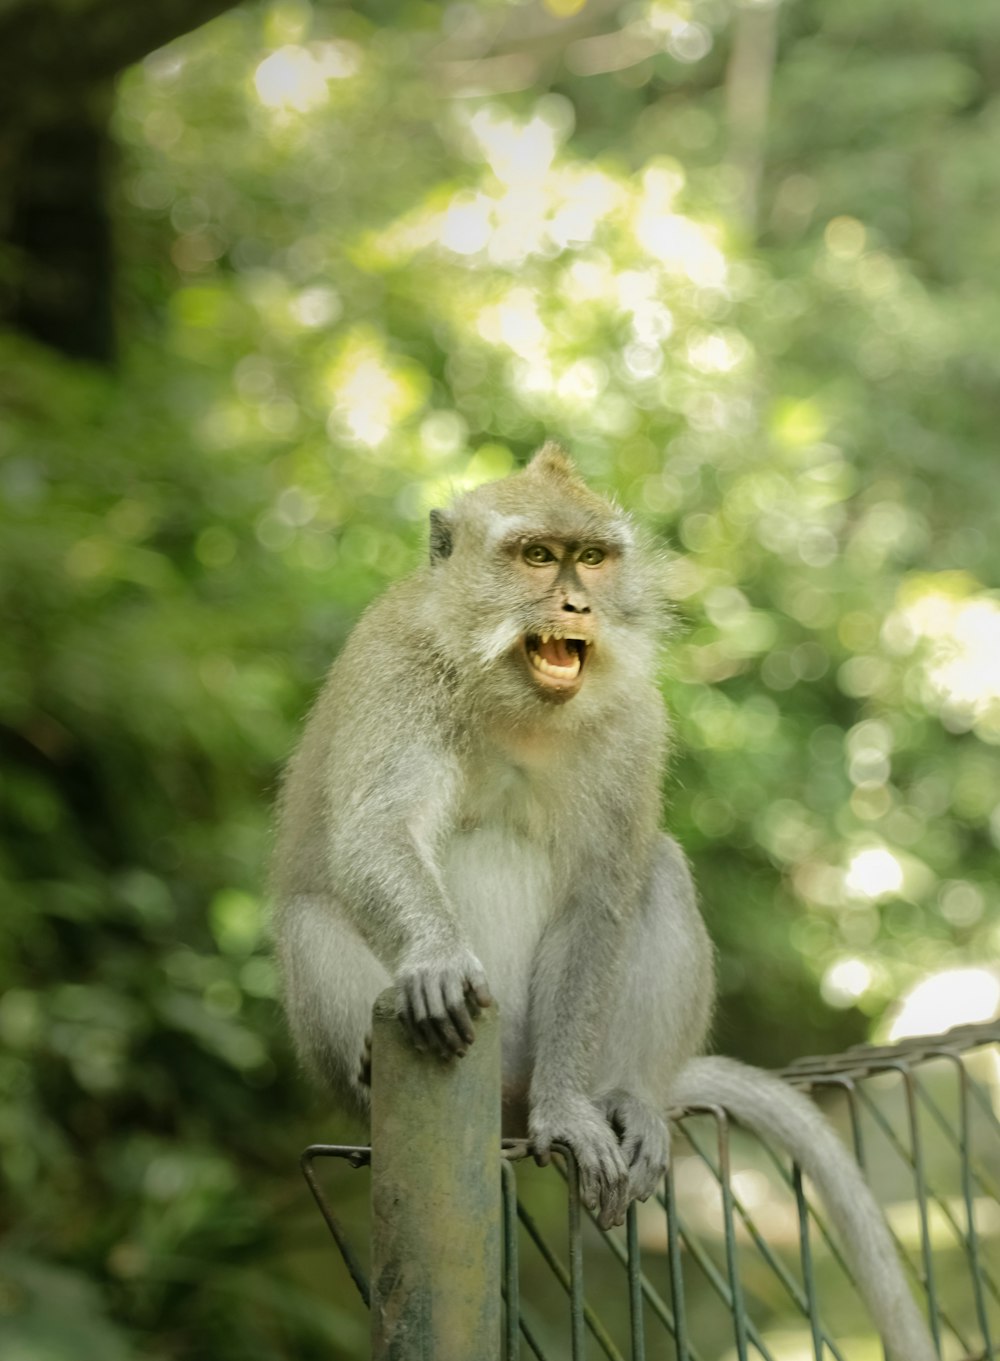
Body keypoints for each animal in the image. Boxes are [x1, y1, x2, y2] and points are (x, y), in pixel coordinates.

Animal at [273, 446, 936, 1361]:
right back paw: (378, 1073)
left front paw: (568, 1115)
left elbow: (600, 897)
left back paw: (622, 1096)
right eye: (535, 556)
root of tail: (502, 1101)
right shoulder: (397, 672)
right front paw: (437, 960)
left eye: (589, 558)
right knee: (311, 915)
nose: (576, 604)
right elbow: (378, 830)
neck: (514, 699)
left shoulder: (634, 717)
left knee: (659, 871)